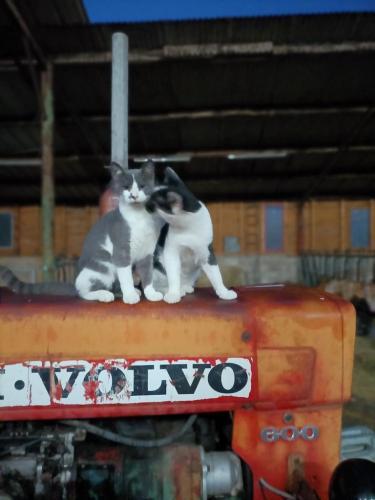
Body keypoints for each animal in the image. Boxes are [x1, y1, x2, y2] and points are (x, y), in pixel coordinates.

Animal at [0, 164, 164, 304]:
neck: (138, 217)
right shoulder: (121, 251)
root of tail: (73, 283)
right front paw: (130, 296)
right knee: (83, 292)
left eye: (142, 186)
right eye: (126, 187)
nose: (133, 195)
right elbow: (127, 277)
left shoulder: (147, 253)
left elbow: (147, 275)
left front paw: (151, 294)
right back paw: (105, 295)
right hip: (103, 266)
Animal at [147, 167, 238, 304]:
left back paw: (185, 287)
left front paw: (224, 292)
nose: (145, 204)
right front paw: (173, 294)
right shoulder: (171, 252)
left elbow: (216, 274)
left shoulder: (207, 252)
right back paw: (173, 290)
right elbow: (173, 274)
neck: (188, 228)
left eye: (152, 202)